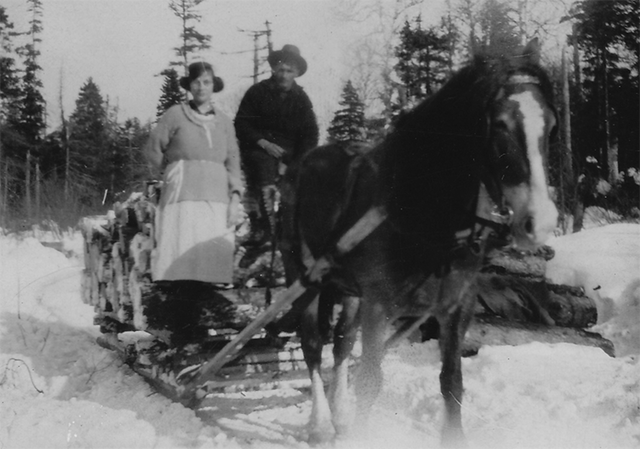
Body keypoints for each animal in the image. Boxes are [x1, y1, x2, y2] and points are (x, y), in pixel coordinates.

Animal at [278, 37, 556, 444]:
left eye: (550, 125)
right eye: (499, 125)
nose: (541, 222)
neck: (423, 208)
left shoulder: (457, 306)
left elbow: (451, 383)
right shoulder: (379, 305)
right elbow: (370, 382)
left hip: (347, 288)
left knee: (342, 343)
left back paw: (339, 414)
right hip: (303, 275)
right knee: (313, 344)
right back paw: (319, 423)